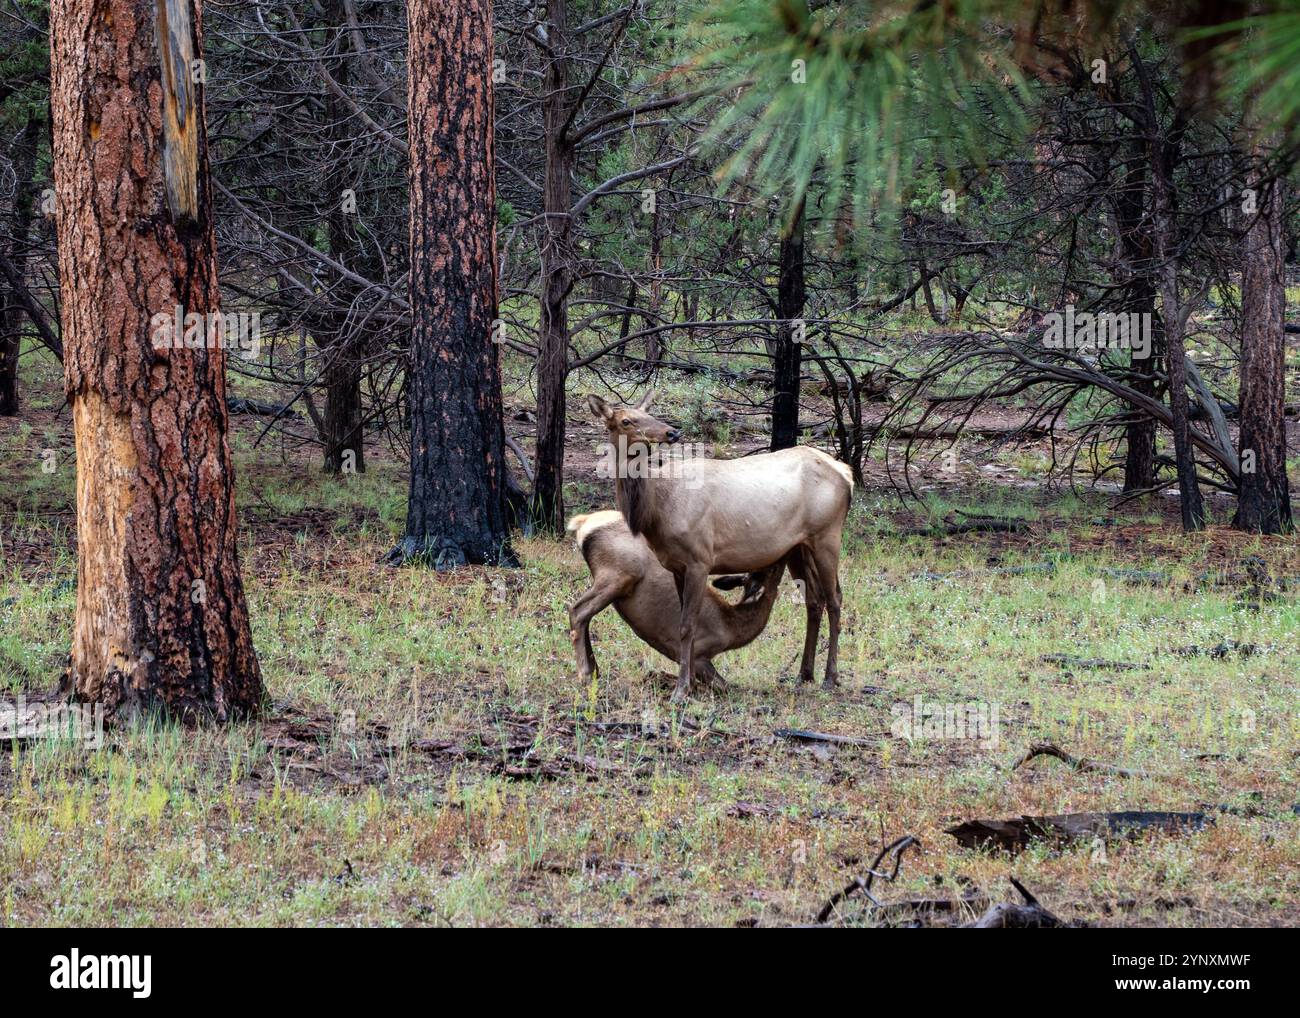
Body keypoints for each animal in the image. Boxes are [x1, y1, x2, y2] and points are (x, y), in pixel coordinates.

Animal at [590, 390, 852, 702]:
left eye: (648, 414)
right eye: (626, 421)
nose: (671, 432)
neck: (656, 511)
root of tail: (847, 473)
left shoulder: (700, 559)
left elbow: (687, 625)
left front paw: (681, 690)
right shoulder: (677, 565)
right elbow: (683, 624)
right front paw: (690, 683)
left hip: (828, 534)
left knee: (835, 598)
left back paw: (830, 678)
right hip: (798, 546)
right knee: (814, 599)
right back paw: (804, 675)